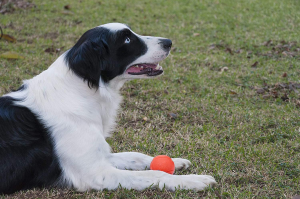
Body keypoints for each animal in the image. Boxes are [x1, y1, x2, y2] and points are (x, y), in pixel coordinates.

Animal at [0, 22, 216, 194]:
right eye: (127, 39)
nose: (168, 42)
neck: (81, 90)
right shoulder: (95, 173)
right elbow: (155, 175)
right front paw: (193, 180)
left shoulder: (101, 155)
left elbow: (136, 156)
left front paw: (175, 161)